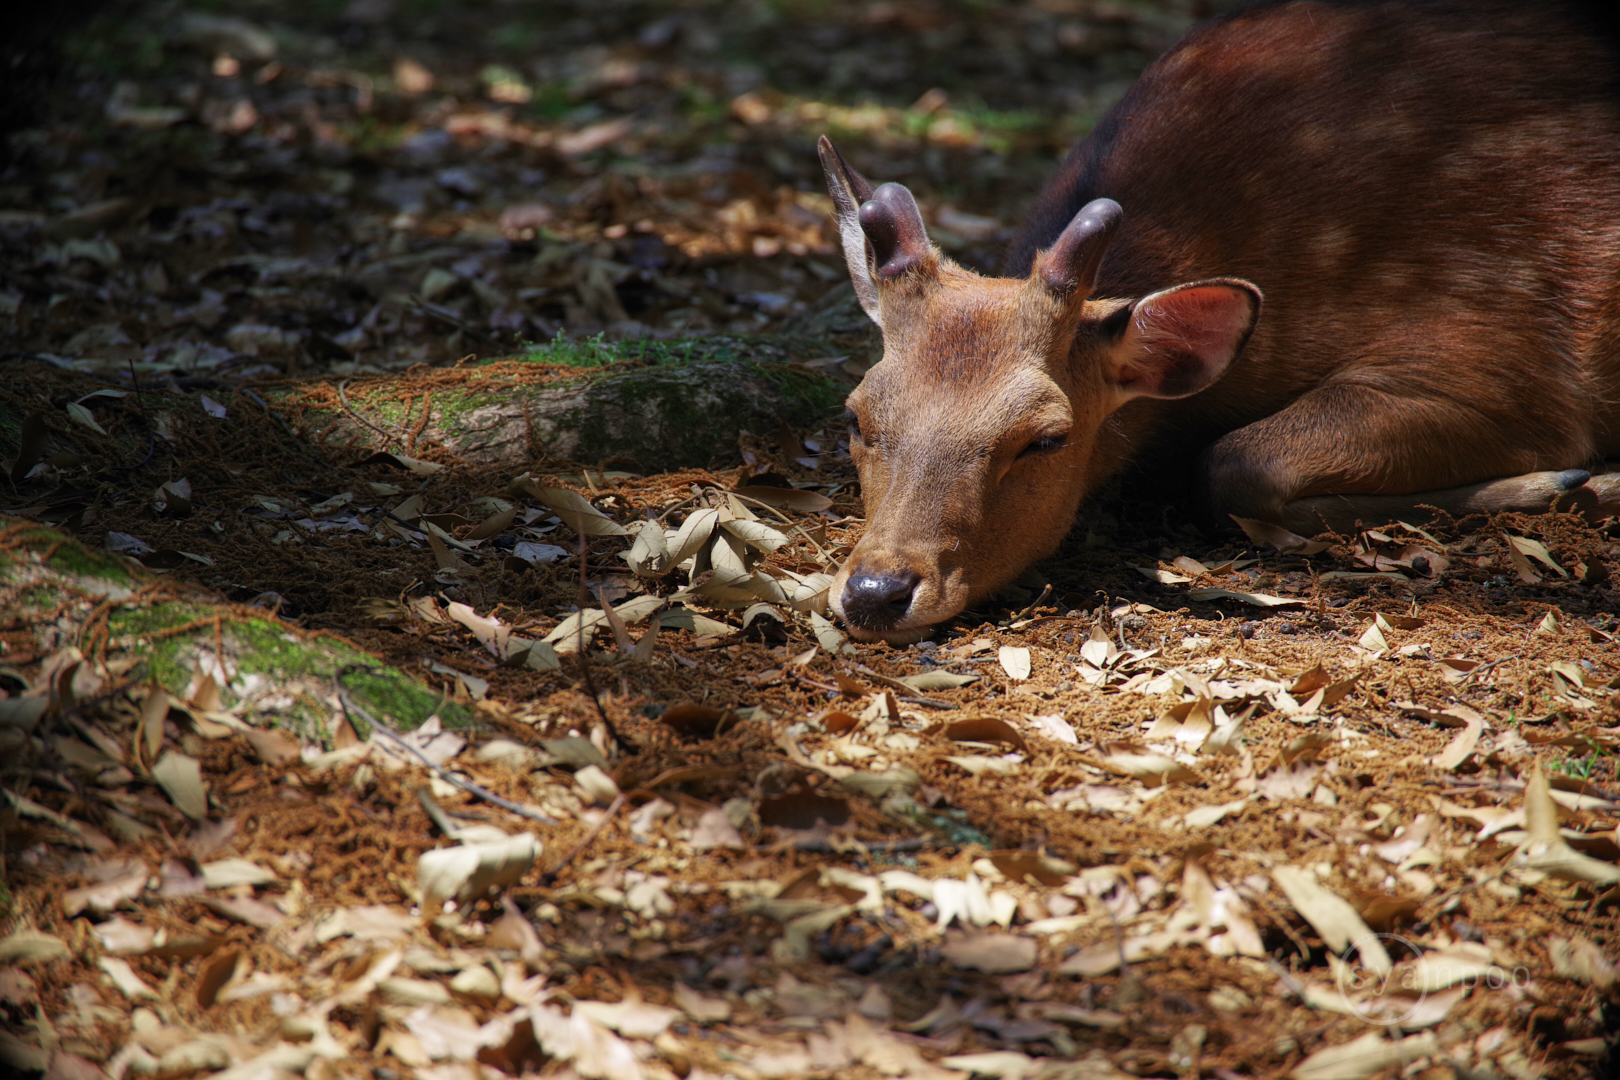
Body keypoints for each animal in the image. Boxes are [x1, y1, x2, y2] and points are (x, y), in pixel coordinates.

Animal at [822, 0, 1620, 641]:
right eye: (855, 415)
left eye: (1048, 438)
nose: (875, 592)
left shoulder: (1503, 355)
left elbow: (1235, 462)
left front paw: (1569, 482)